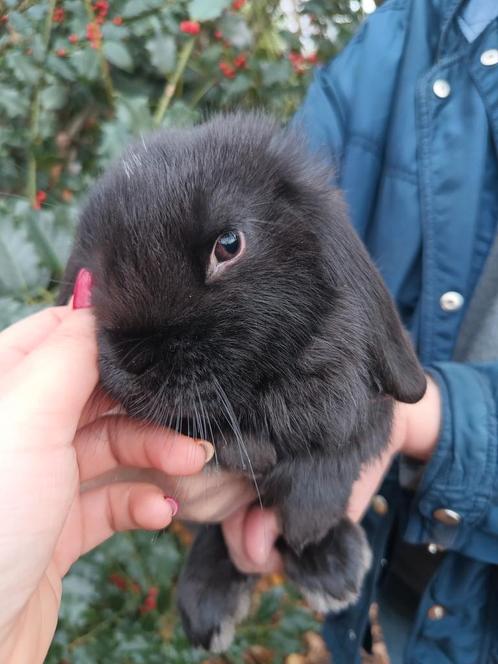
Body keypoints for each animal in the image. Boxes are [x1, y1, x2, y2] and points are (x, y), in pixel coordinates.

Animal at [57, 111, 424, 652]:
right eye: (94, 272)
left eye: (228, 245)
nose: (133, 359)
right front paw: (252, 454)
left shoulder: (366, 410)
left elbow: (334, 459)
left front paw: (311, 527)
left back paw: (332, 565)